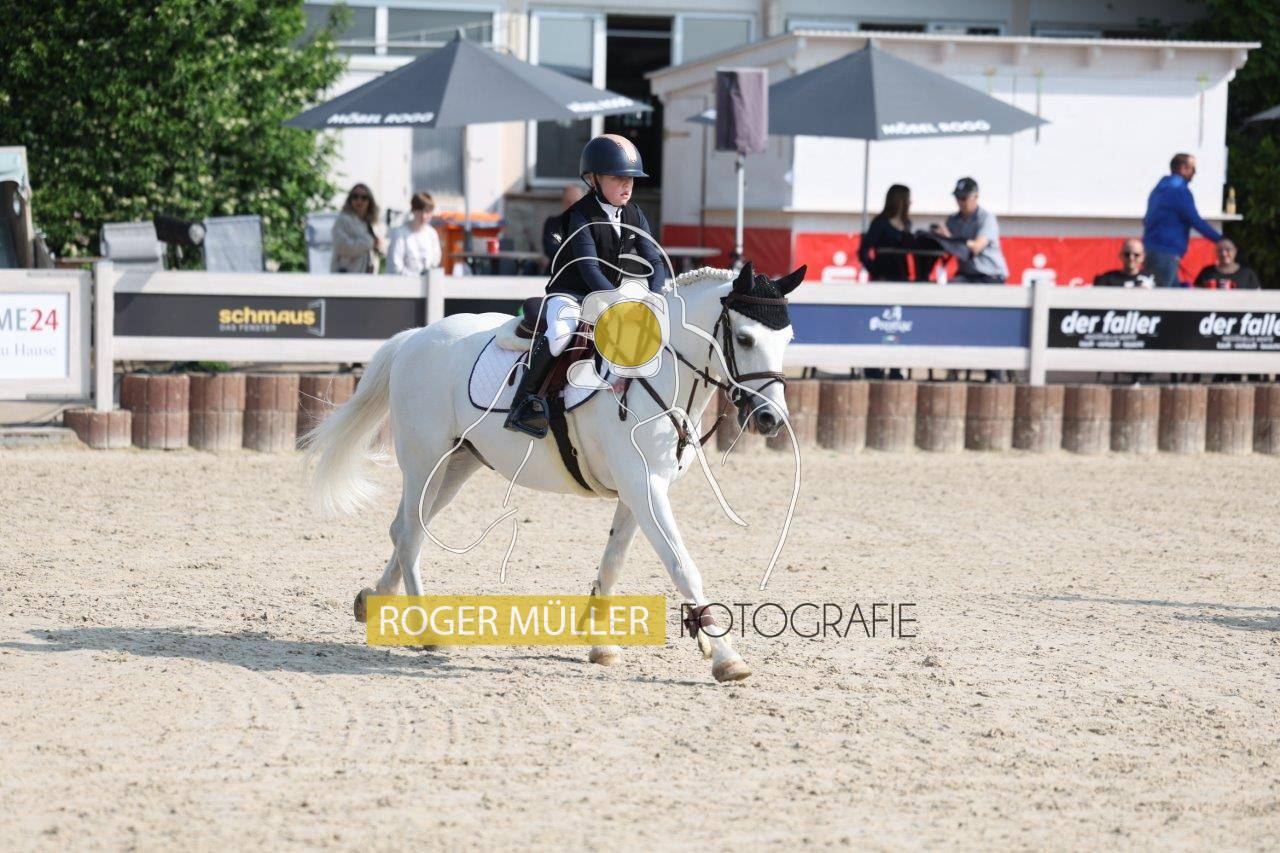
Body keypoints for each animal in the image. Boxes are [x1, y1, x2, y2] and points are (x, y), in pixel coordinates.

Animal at [302, 262, 805, 682]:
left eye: (787, 341)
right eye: (745, 339)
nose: (770, 419)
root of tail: (417, 336)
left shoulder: (638, 493)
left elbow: (613, 562)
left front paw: (601, 646)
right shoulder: (645, 489)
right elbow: (683, 566)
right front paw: (726, 658)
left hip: (459, 463)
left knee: (409, 528)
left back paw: (373, 600)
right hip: (425, 458)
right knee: (409, 533)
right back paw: (427, 631)